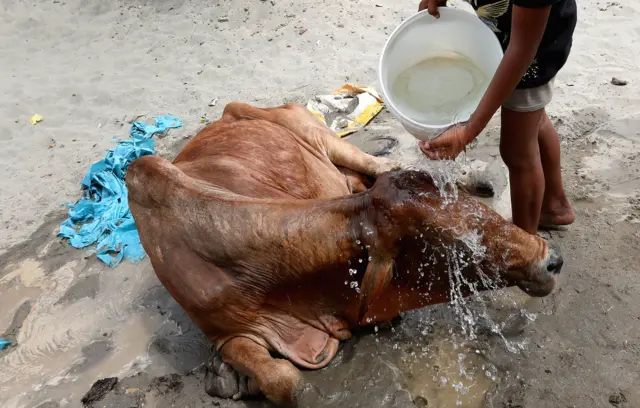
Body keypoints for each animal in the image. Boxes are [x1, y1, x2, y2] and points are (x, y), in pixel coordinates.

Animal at [126, 101, 564, 404]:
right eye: (452, 243)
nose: (551, 260)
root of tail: (227, 113)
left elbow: (287, 383)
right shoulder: (224, 332)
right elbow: (283, 380)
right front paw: (229, 376)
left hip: (323, 138)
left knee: (383, 162)